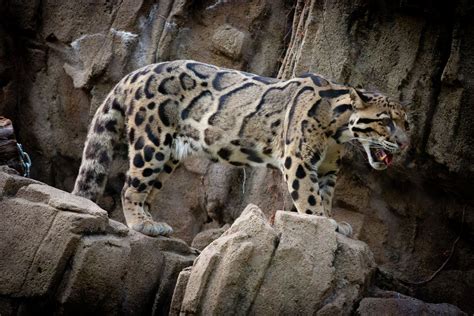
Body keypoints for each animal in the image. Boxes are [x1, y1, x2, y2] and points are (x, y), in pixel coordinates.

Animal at [72, 59, 410, 237]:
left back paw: (153, 220)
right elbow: (310, 197)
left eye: (406, 122)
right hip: (151, 143)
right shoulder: (299, 159)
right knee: (130, 186)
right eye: (386, 121)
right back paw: (143, 225)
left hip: (168, 154)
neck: (338, 131)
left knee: (147, 189)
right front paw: (324, 222)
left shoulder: (326, 168)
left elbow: (325, 195)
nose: (405, 144)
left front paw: (334, 220)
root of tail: (138, 71)